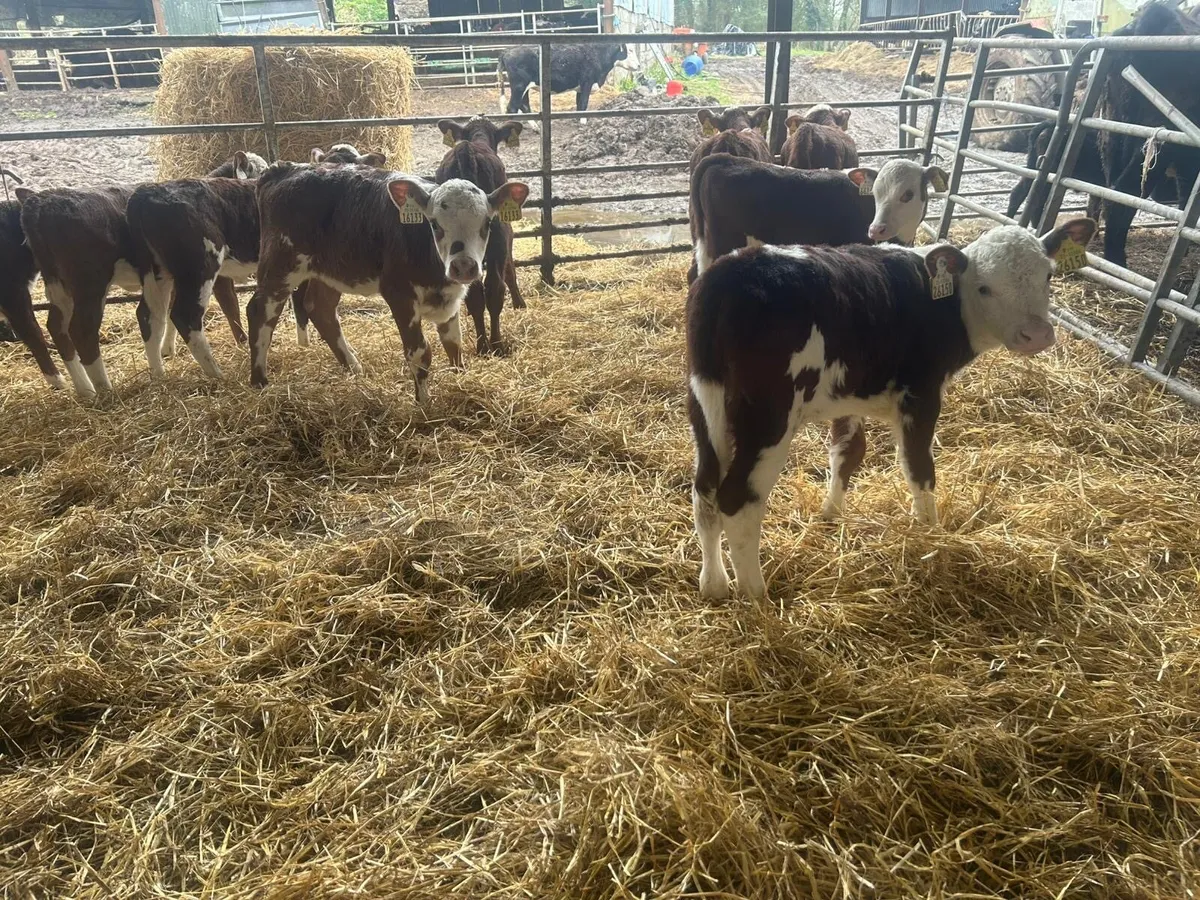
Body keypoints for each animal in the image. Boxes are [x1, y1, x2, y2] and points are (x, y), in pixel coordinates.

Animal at [246, 163, 529, 404]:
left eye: (487, 223)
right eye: (435, 224)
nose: (463, 266)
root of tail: (283, 169)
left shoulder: (450, 295)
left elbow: (453, 343)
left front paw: (460, 379)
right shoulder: (399, 294)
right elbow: (420, 352)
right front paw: (424, 404)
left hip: (328, 271)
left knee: (320, 308)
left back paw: (353, 367)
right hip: (280, 266)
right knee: (260, 311)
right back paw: (260, 380)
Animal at [435, 116, 526, 355]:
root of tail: (467, 151)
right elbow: (508, 272)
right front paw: (519, 303)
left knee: (475, 292)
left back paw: (482, 345)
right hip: (498, 236)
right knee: (494, 288)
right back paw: (495, 344)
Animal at [499, 43, 628, 114]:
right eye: (630, 50)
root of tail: (507, 51)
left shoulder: (580, 88)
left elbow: (579, 105)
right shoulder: (587, 82)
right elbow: (583, 104)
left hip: (523, 87)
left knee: (524, 105)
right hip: (519, 86)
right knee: (512, 107)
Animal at [686, 217, 1097, 600]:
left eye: (1048, 275)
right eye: (984, 287)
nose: (1037, 335)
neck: (945, 304)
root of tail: (730, 270)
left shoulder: (848, 396)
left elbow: (847, 452)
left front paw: (831, 514)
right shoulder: (920, 396)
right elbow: (919, 468)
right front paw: (930, 533)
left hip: (706, 402)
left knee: (705, 489)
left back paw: (714, 584)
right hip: (768, 417)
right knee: (737, 499)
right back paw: (756, 596)